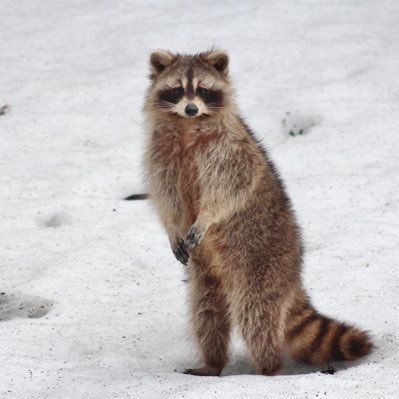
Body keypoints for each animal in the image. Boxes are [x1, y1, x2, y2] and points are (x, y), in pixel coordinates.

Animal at [143, 50, 372, 378]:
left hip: (263, 264)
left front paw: (206, 217)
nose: (190, 108)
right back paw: (213, 362)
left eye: (202, 90)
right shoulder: (160, 155)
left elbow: (229, 190)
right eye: (177, 90)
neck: (188, 127)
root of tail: (294, 275)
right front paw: (172, 227)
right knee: (206, 312)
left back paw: (268, 368)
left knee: (257, 314)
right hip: (206, 275)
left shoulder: (230, 152)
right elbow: (166, 197)